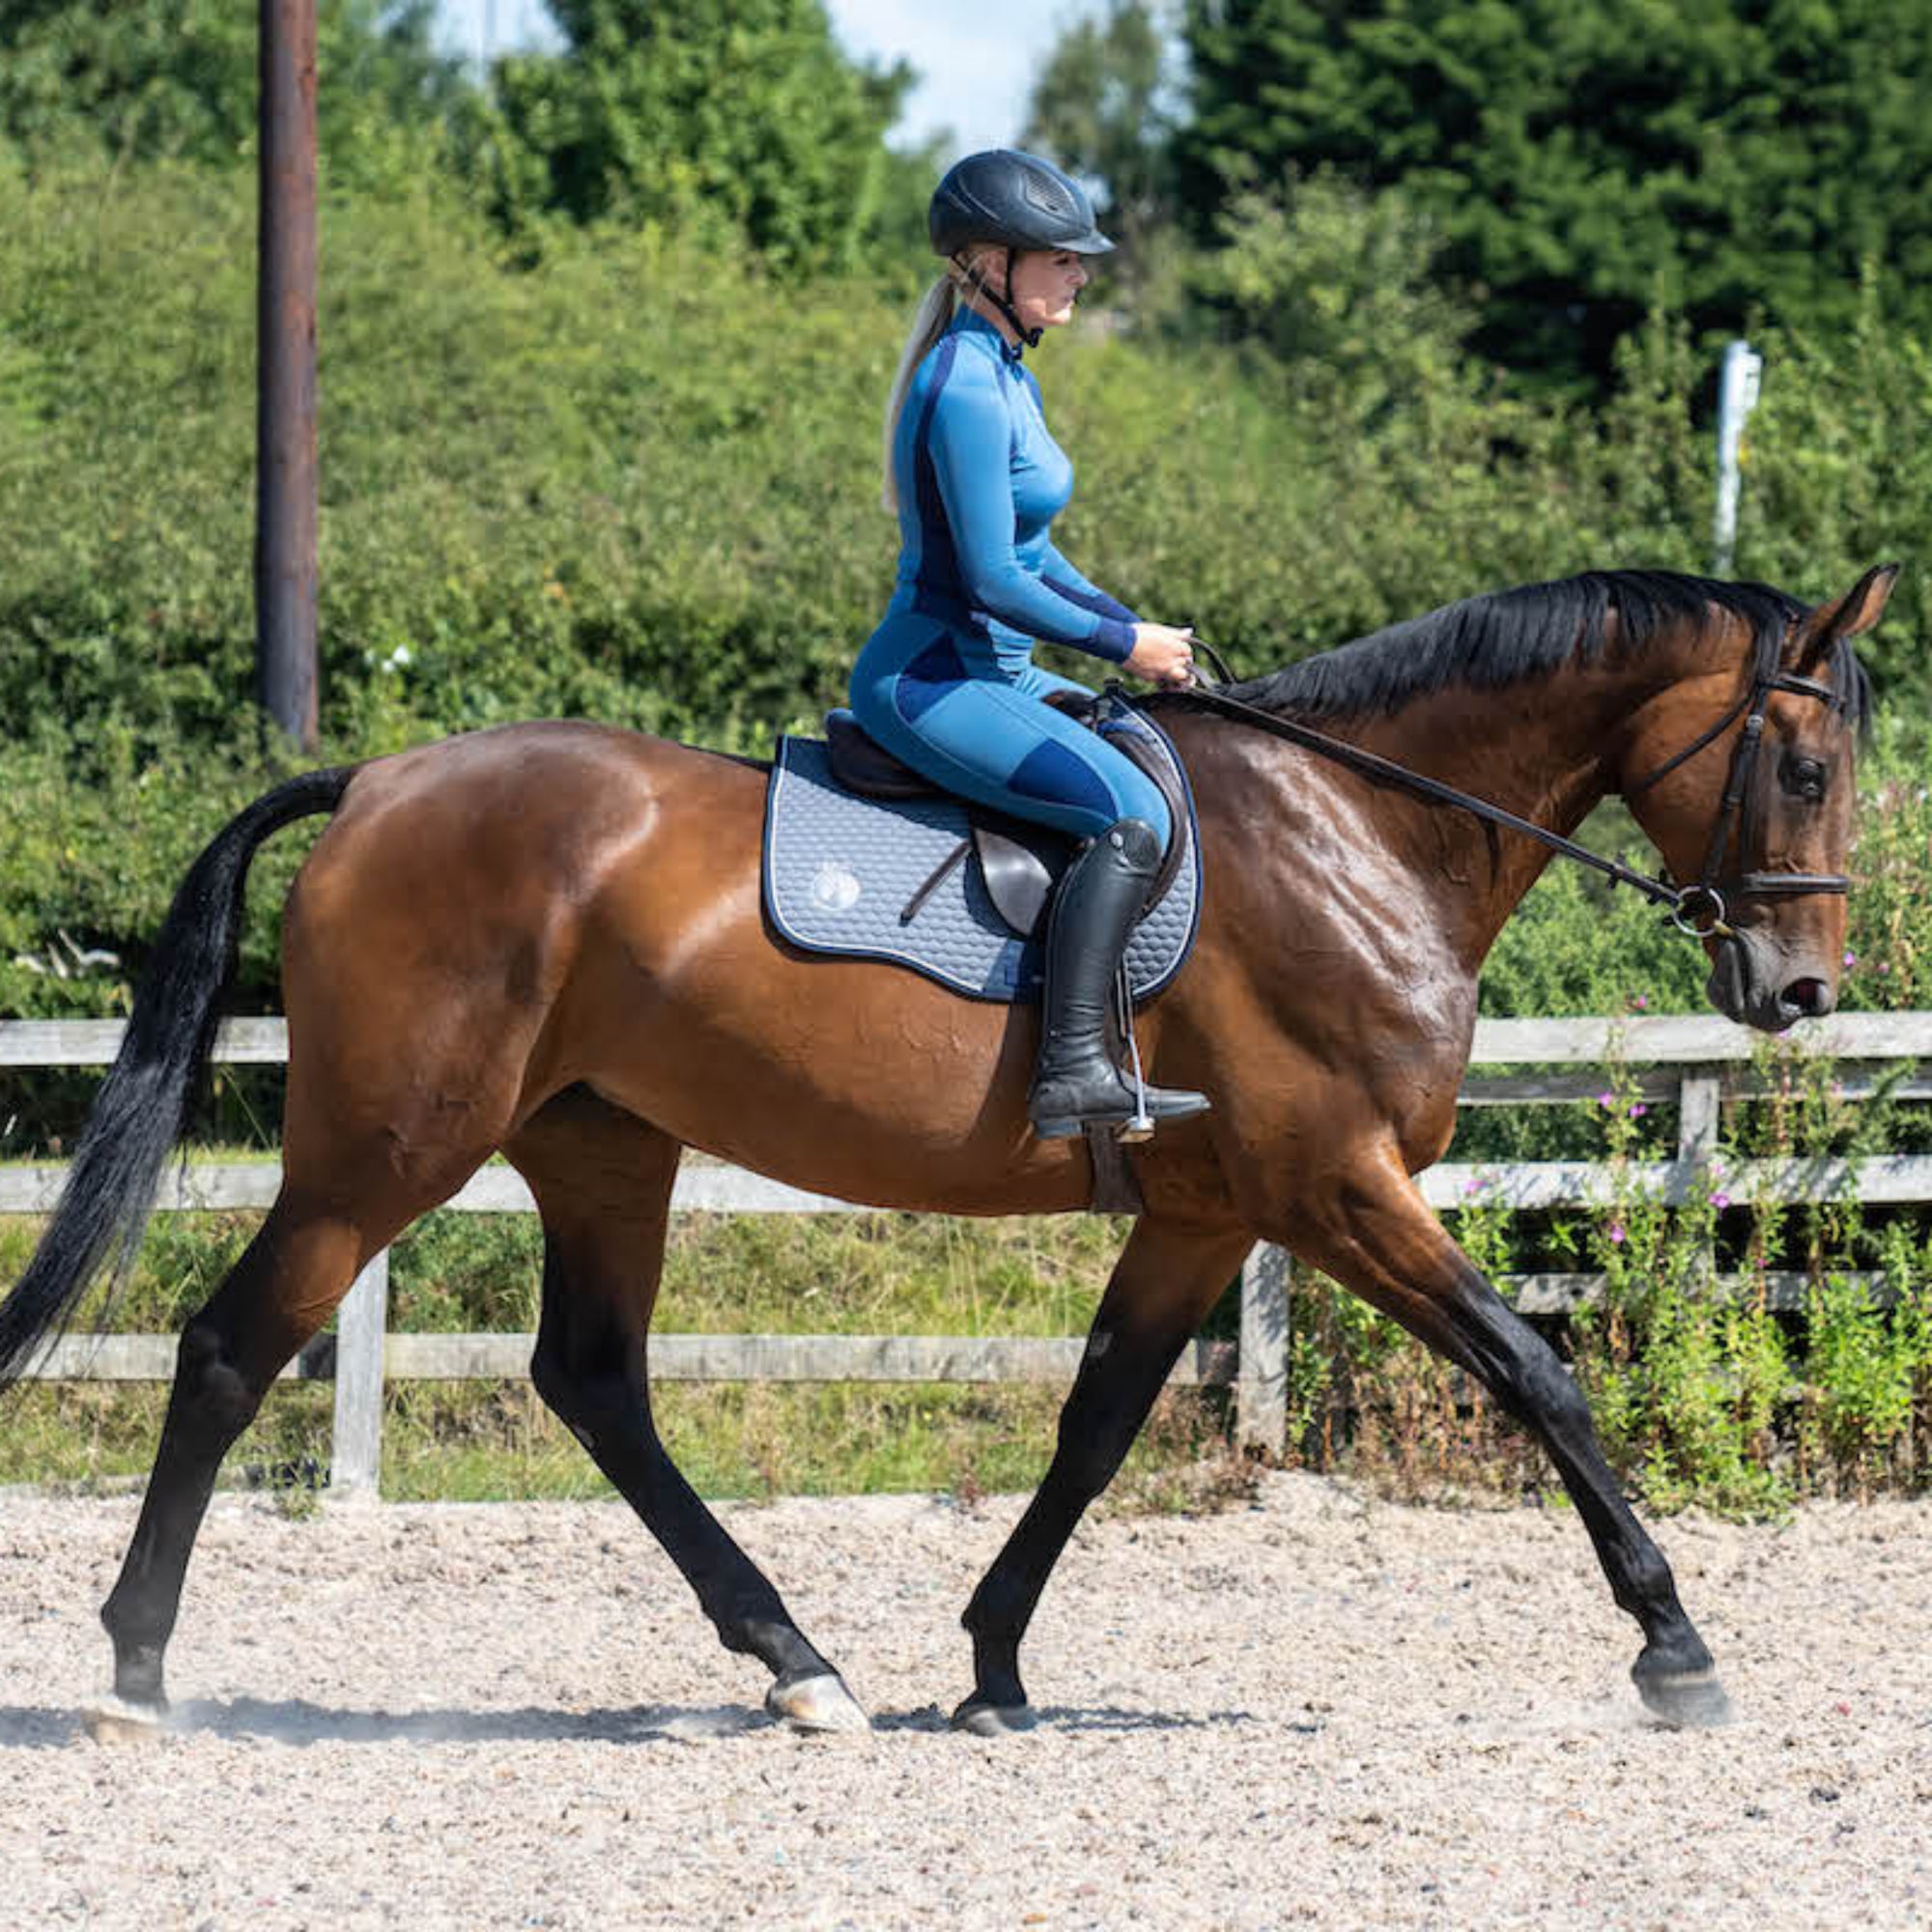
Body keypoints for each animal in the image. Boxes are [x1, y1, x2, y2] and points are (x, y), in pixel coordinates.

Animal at [0, 562, 1894, 1739]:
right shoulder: (1336, 1183)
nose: (1800, 991)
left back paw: (796, 1663)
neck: (1358, 829)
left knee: (596, 1383)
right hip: (383, 1154)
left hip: (603, 1148)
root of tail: (378, 783)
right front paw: (1676, 1645)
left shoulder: (1209, 1214)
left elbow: (1099, 1424)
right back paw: (138, 1673)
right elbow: (1535, 1371)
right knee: (231, 1346)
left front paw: (991, 1662)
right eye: (1802, 763)